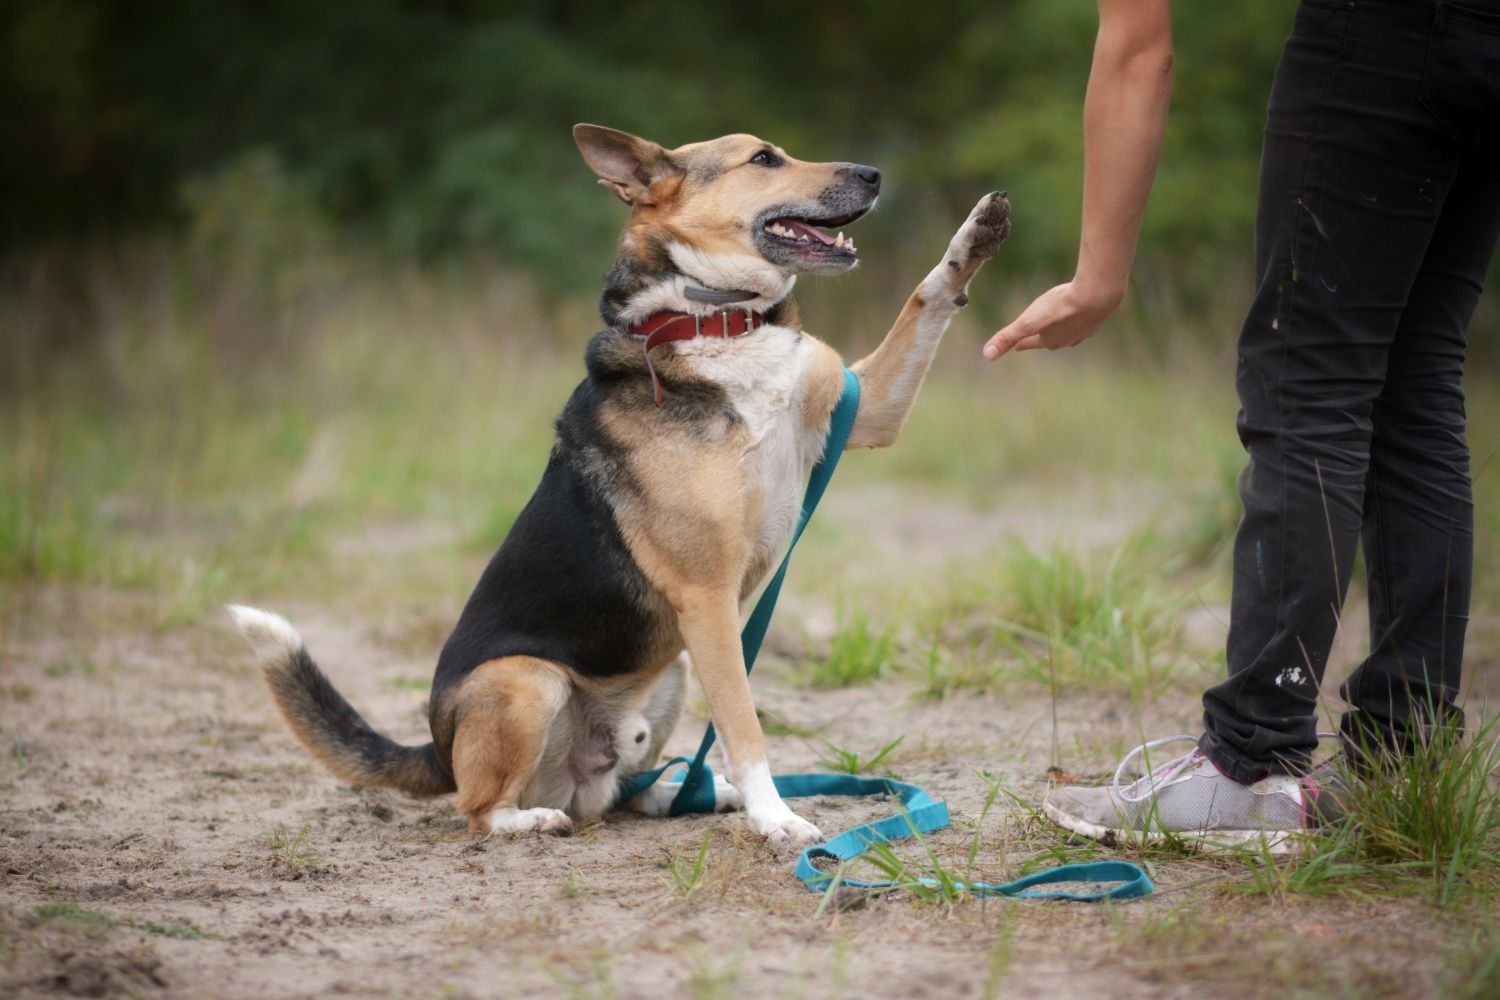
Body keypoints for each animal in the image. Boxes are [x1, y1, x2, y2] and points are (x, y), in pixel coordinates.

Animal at [228, 125, 1014, 845]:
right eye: (764, 158)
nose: (874, 174)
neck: (718, 322)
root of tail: (438, 747)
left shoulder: (865, 411)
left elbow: (925, 298)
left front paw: (975, 236)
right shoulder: (707, 600)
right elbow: (746, 727)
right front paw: (776, 819)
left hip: (670, 673)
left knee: (618, 797)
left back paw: (686, 793)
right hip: (529, 680)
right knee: (479, 809)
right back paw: (536, 818)